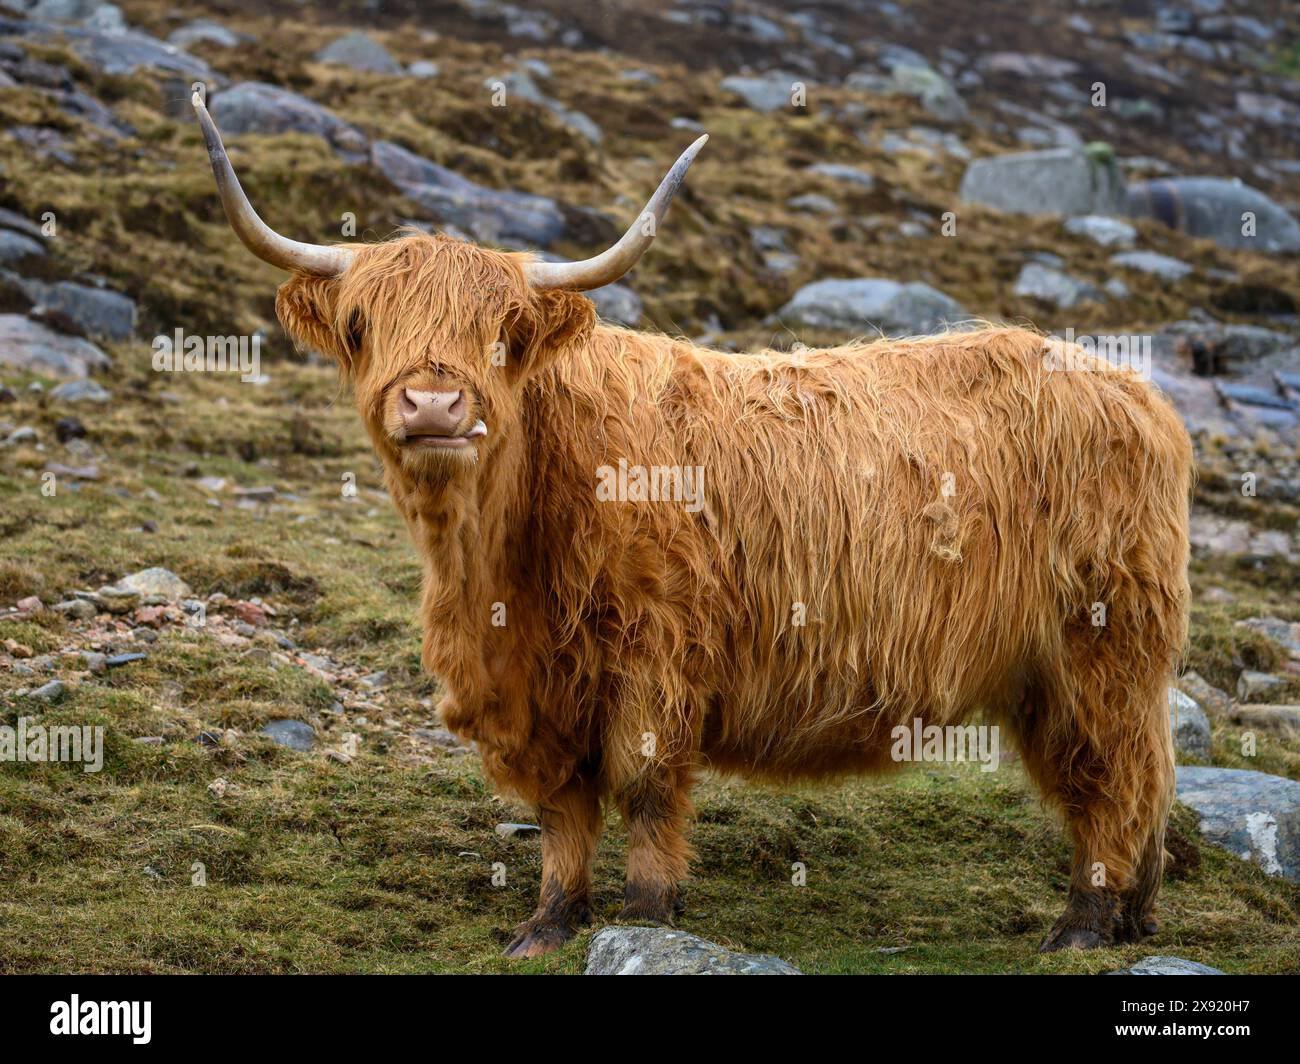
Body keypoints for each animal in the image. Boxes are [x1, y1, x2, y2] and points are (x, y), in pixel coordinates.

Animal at [192, 99, 1190, 957]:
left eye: (505, 328)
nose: (434, 404)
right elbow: (560, 807)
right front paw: (549, 922)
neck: (497, 561)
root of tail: (1128, 385)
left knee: (1117, 776)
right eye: (362, 323)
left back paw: (1085, 924)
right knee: (1145, 772)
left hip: (1099, 646)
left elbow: (641, 788)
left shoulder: (657, 652)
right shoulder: (537, 691)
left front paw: (647, 913)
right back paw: (1135, 914)